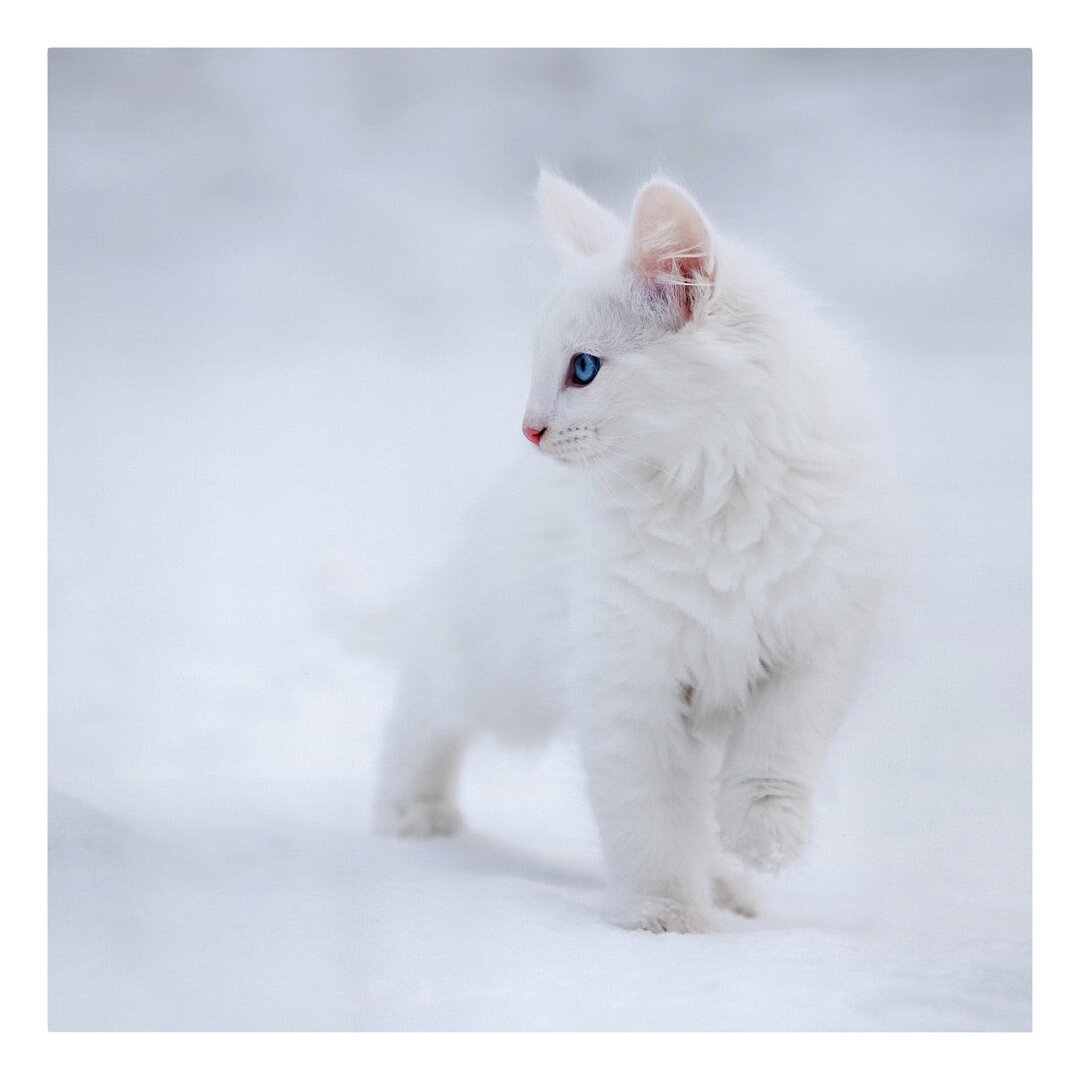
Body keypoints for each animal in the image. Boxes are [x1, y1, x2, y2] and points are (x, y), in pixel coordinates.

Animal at [371, 172, 885, 933]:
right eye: (539, 369)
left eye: (583, 369)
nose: (528, 428)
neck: (713, 498)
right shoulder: (627, 678)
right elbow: (654, 816)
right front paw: (663, 914)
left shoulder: (820, 635)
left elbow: (777, 751)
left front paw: (763, 838)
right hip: (501, 672)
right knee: (424, 698)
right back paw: (411, 807)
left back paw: (730, 881)